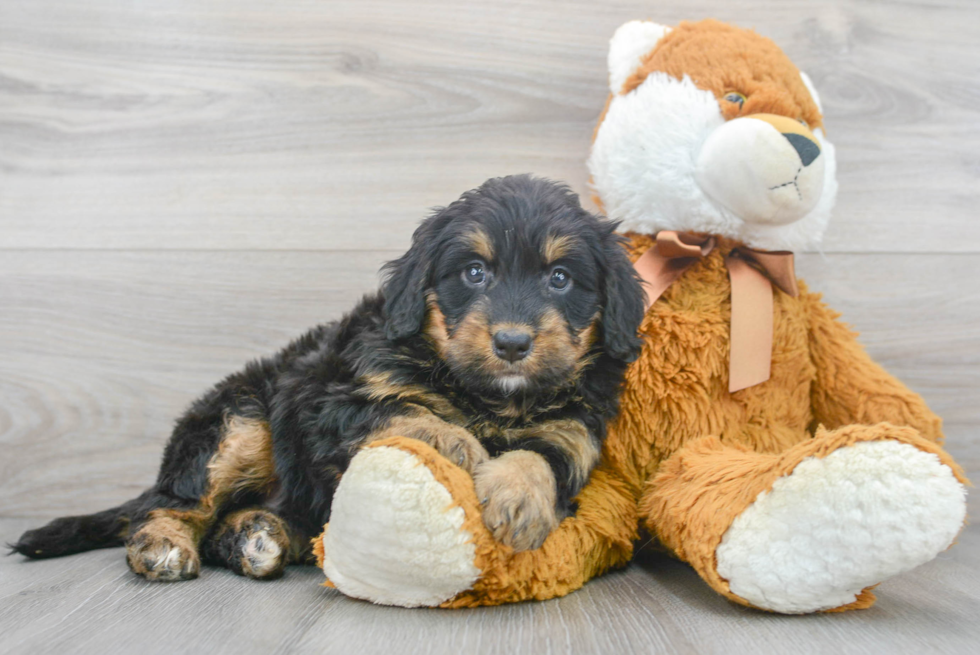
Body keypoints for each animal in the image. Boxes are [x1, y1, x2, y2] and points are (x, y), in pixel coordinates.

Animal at [13, 173, 652, 580]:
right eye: (474, 272)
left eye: (560, 279)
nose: (513, 343)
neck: (486, 397)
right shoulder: (330, 401)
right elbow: (403, 410)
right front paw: (455, 442)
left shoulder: (574, 430)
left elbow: (540, 458)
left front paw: (518, 500)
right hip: (241, 420)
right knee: (174, 502)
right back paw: (165, 545)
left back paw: (260, 537)